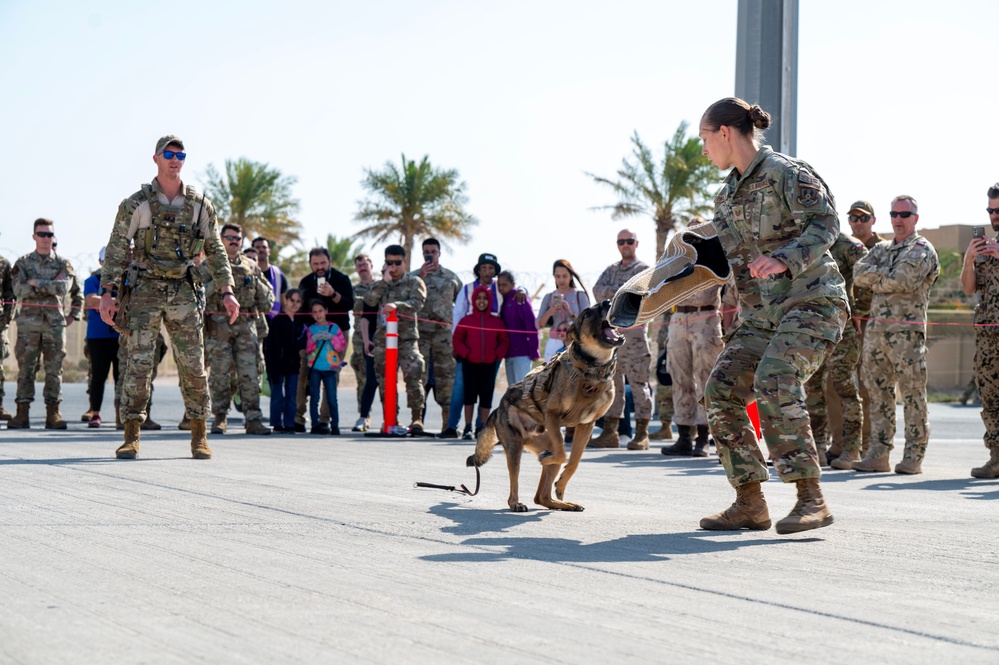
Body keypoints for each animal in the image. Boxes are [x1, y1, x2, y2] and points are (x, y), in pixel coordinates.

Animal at [468, 300, 624, 512]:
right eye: (586, 314)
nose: (607, 302)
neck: (593, 370)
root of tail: (498, 408)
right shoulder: (552, 415)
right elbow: (563, 454)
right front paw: (552, 462)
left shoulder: (586, 425)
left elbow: (574, 460)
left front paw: (562, 483)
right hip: (515, 447)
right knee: (517, 482)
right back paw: (516, 503)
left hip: (546, 439)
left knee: (541, 496)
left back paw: (563, 504)